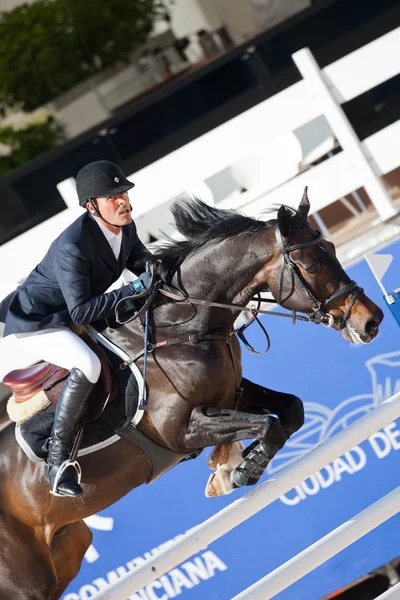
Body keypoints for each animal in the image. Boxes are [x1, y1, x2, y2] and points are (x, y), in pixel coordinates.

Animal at [0, 190, 382, 596]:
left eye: (332, 248)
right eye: (310, 265)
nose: (371, 321)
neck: (185, 327)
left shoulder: (231, 395)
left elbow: (290, 411)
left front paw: (240, 463)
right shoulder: (180, 431)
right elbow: (268, 425)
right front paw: (238, 471)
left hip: (65, 550)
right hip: (25, 582)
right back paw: (63, 474)